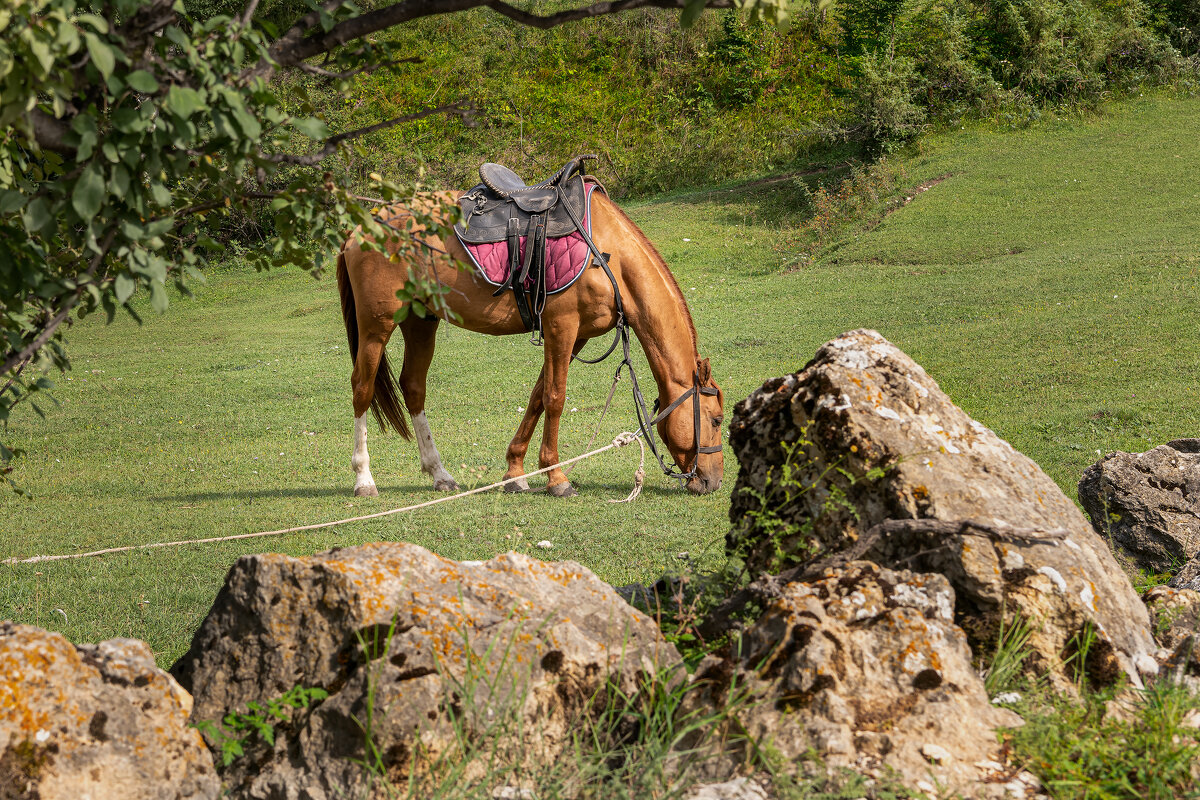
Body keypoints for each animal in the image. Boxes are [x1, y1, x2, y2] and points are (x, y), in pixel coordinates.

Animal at [336, 190, 720, 496]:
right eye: (716, 420)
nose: (713, 482)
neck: (608, 253)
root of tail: (358, 230)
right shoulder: (561, 326)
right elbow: (555, 398)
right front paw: (556, 477)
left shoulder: (576, 335)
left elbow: (537, 395)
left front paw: (515, 472)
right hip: (377, 326)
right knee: (361, 389)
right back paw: (364, 479)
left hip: (420, 321)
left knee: (414, 388)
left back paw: (439, 474)